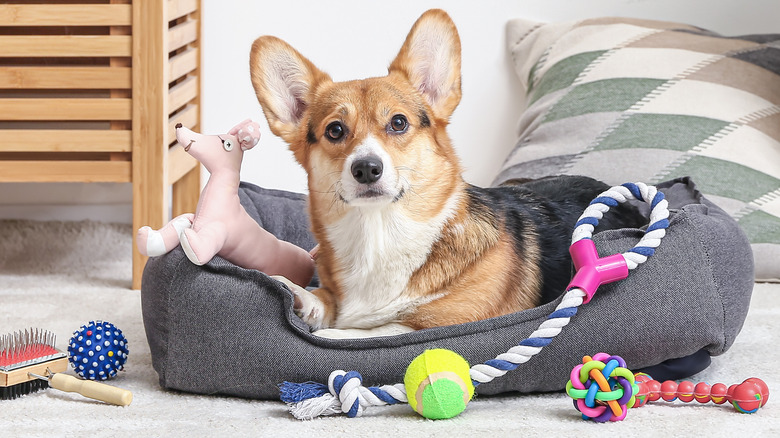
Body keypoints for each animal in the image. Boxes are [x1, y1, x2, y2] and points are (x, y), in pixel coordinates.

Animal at [248, 10, 640, 338]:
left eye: (398, 122)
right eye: (334, 131)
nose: (367, 168)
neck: (378, 235)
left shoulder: (447, 320)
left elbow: (372, 331)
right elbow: (324, 299)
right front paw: (298, 294)